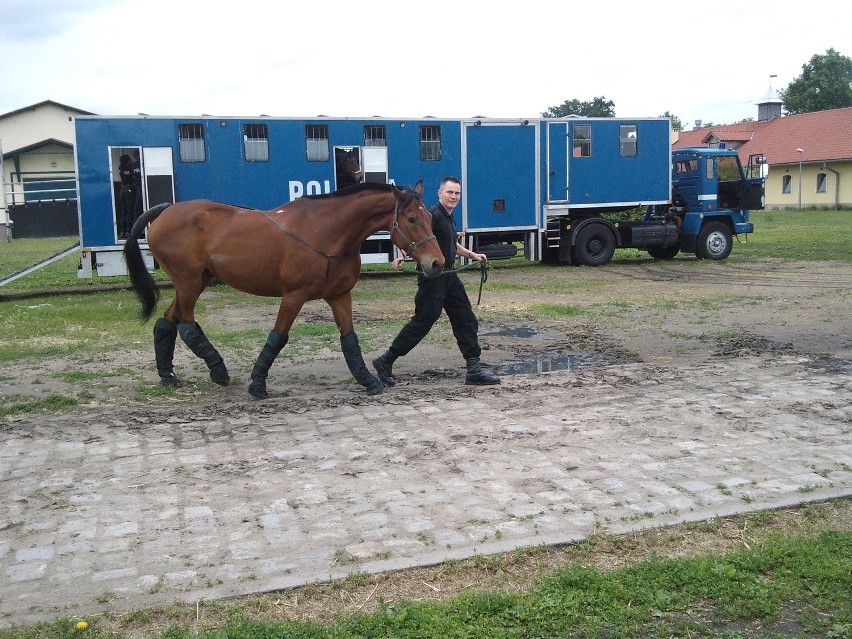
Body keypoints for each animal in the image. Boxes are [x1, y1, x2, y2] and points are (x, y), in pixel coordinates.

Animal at [123, 180, 442, 398]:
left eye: (430, 218)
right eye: (412, 219)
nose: (436, 263)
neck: (327, 233)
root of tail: (166, 211)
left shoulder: (339, 295)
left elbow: (349, 339)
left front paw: (368, 379)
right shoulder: (293, 296)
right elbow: (278, 337)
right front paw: (258, 383)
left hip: (197, 280)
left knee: (168, 320)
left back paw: (167, 375)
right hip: (188, 281)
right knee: (186, 323)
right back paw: (217, 369)